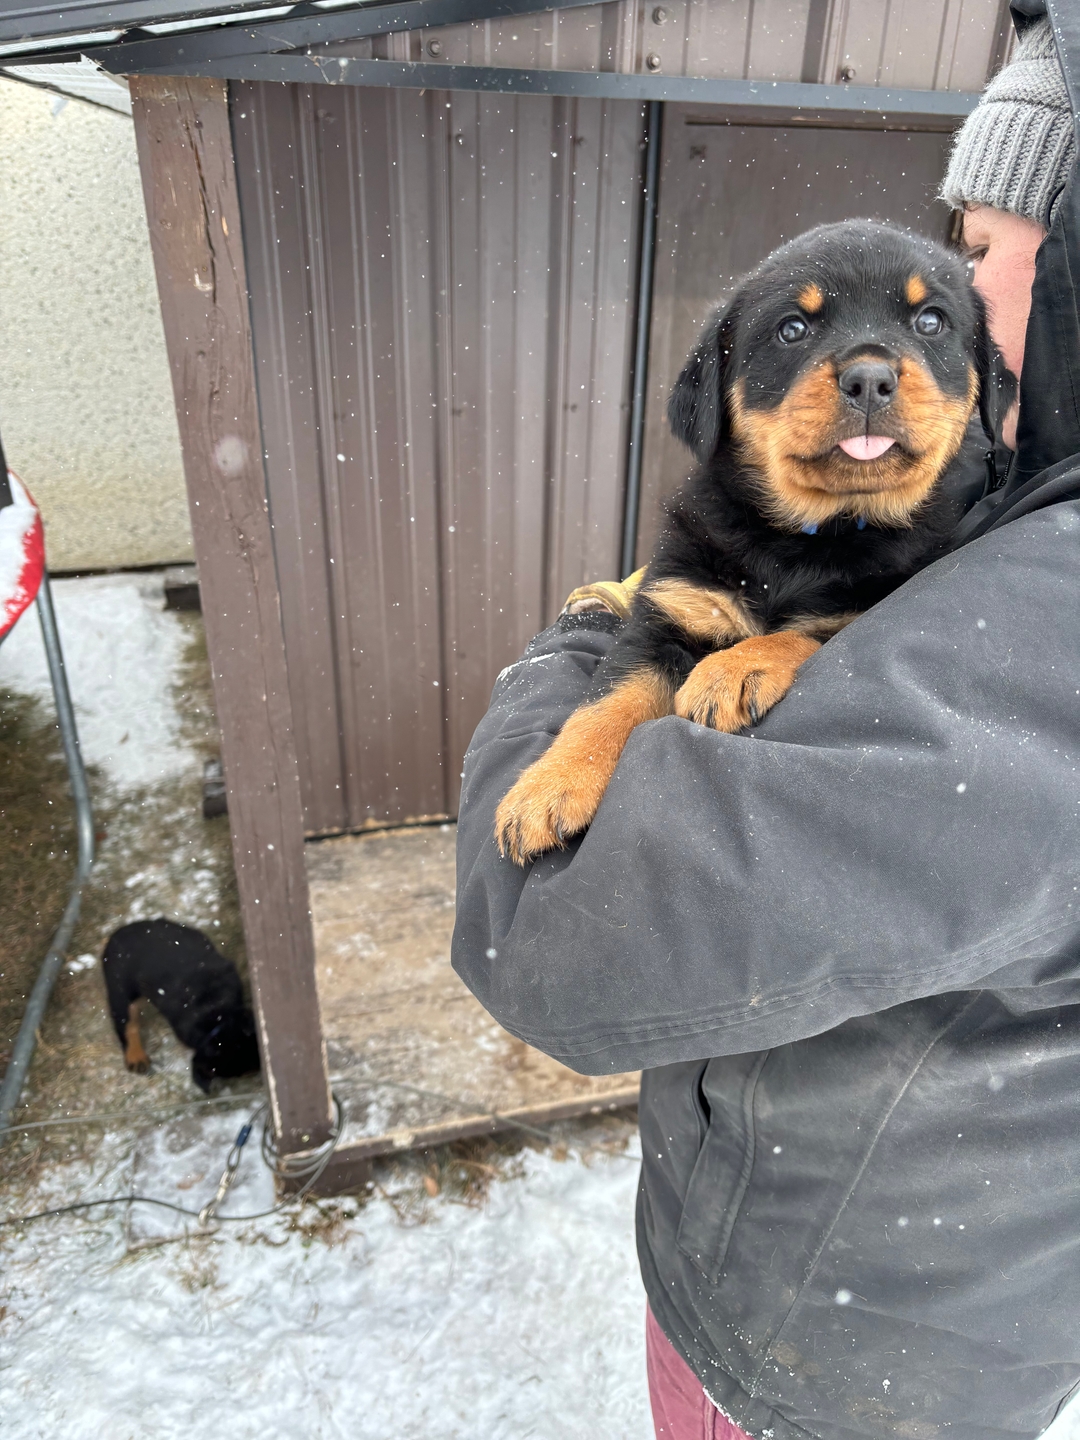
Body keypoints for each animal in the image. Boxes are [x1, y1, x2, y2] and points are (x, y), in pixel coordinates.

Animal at [498, 216, 1008, 864]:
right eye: (792, 329)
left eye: (931, 322)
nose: (870, 377)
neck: (803, 538)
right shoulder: (669, 612)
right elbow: (604, 703)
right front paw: (546, 788)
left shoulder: (857, 612)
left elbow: (802, 633)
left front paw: (732, 671)